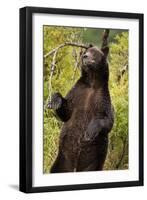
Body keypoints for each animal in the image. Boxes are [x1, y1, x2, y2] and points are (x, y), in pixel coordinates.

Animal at [47, 30, 114, 173]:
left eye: (94, 53)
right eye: (86, 52)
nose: (84, 56)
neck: (92, 82)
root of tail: (74, 167)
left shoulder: (102, 98)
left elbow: (107, 120)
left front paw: (89, 132)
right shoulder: (79, 92)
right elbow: (67, 111)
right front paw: (54, 101)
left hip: (93, 162)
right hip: (62, 159)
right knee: (55, 169)